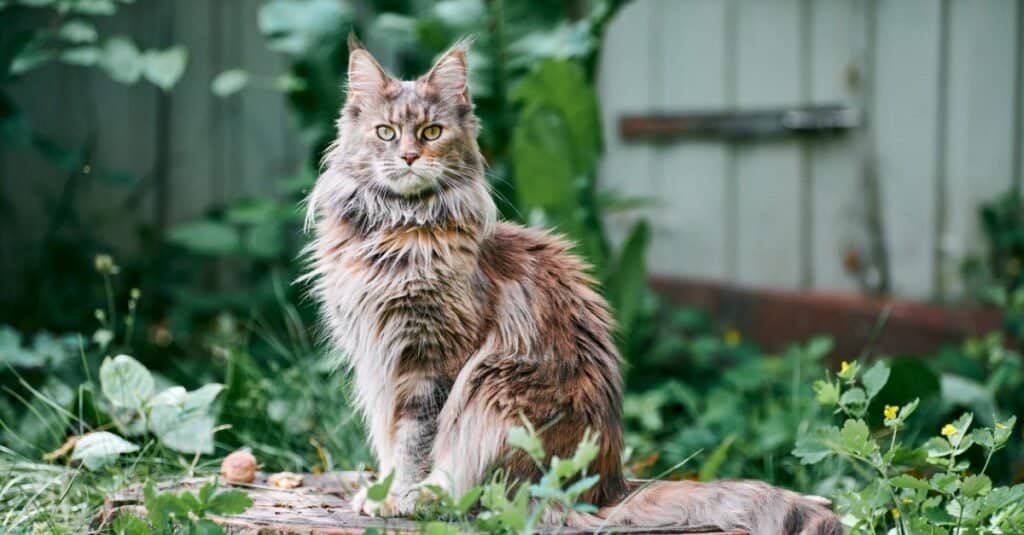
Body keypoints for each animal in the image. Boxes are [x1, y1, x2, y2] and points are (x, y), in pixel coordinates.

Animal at [299, 34, 843, 532]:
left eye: (431, 132)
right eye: (386, 132)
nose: (411, 156)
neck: (397, 229)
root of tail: (608, 488)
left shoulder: (431, 361)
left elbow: (416, 442)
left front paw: (403, 498)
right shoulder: (378, 361)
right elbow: (391, 442)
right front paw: (382, 491)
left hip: (494, 387)